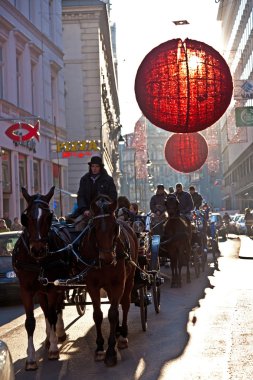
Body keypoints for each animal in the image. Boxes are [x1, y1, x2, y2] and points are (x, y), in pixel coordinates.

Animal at [12, 187, 70, 372]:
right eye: (27, 217)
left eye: (48, 216)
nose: (37, 249)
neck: (37, 262)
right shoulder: (26, 289)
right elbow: (30, 322)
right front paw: (31, 358)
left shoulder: (52, 287)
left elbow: (52, 315)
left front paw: (54, 349)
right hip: (41, 290)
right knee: (46, 309)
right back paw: (48, 338)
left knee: (56, 309)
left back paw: (58, 334)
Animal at [77, 194, 138, 366]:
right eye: (95, 227)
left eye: (114, 227)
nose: (107, 259)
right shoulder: (92, 285)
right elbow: (98, 315)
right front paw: (99, 348)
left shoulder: (118, 283)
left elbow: (112, 314)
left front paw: (111, 351)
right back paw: (117, 331)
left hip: (129, 279)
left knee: (124, 304)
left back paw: (122, 335)